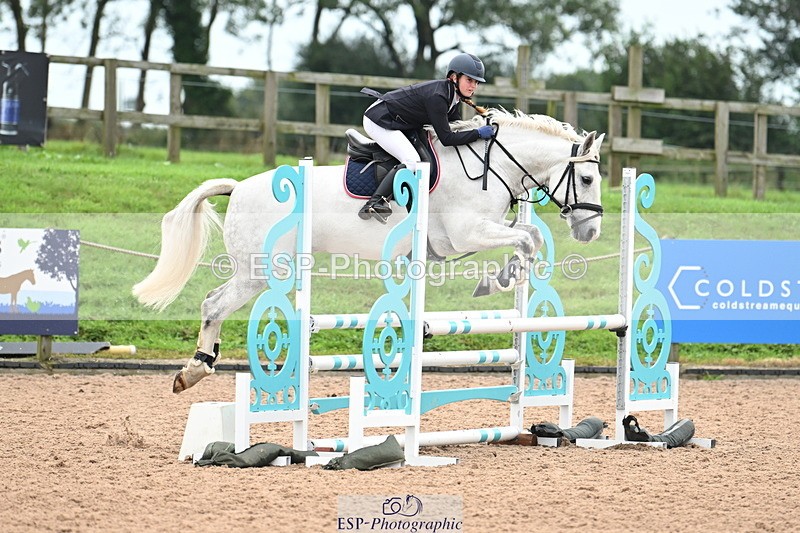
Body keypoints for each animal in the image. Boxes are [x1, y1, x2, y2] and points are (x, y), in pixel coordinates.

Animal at [132, 108, 606, 393]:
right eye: (585, 180)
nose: (592, 231)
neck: (490, 165)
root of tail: (239, 187)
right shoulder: (465, 234)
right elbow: (526, 239)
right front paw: (499, 280)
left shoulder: (476, 234)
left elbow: (530, 237)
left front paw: (508, 276)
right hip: (262, 271)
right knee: (214, 304)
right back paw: (194, 370)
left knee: (214, 302)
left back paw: (197, 367)